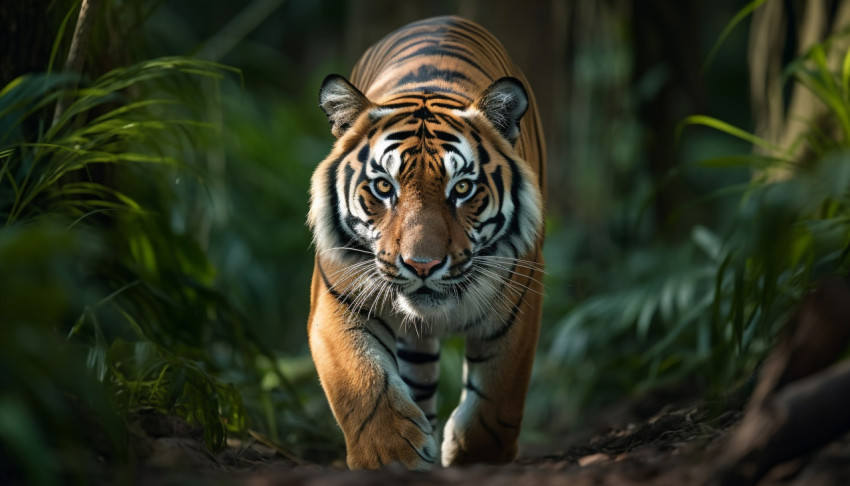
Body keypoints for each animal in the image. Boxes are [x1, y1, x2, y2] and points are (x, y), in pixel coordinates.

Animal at [304, 16, 544, 470]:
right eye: (384, 187)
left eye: (462, 189)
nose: (422, 266)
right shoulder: (335, 300)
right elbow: (362, 383)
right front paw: (391, 457)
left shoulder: (517, 307)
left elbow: (497, 399)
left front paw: (473, 457)